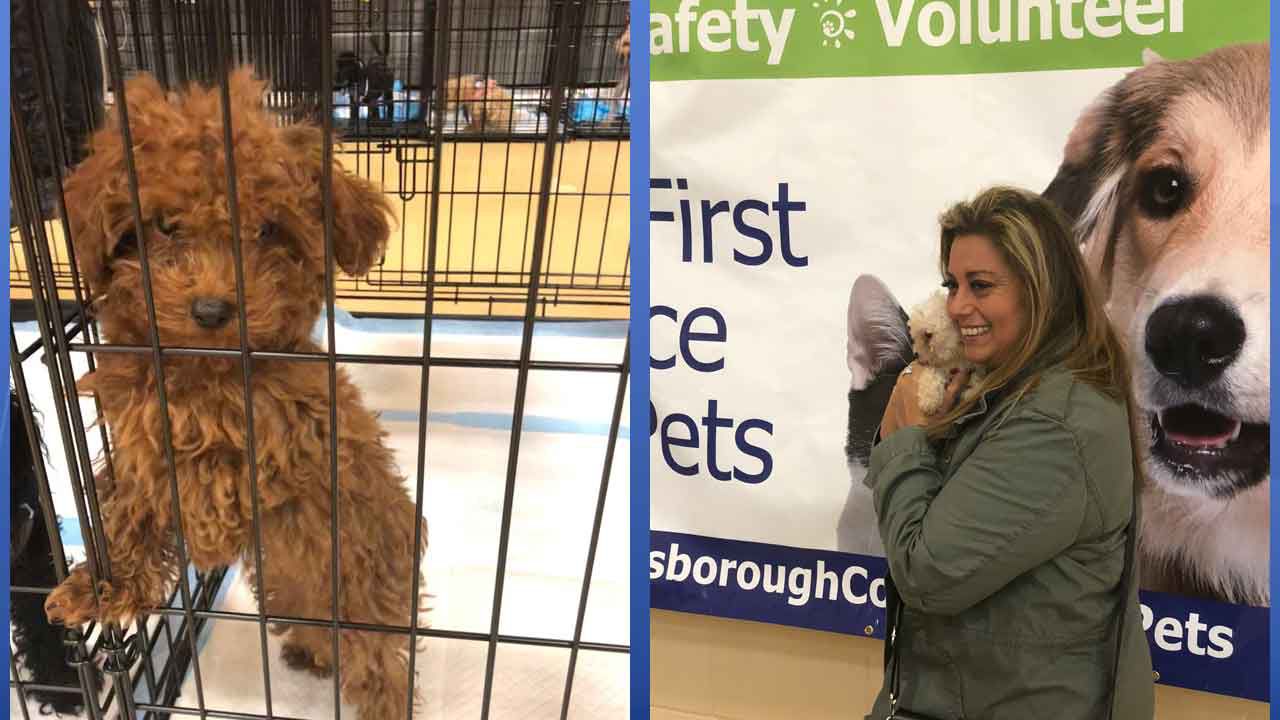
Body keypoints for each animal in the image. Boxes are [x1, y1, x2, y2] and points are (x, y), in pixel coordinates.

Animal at [42, 67, 430, 717]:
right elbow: (128, 502)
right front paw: (95, 587)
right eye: (165, 225)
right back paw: (311, 652)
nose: (211, 309)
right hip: (289, 590)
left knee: (380, 667)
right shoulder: (137, 443)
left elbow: (201, 483)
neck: (204, 366)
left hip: (362, 592)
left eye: (268, 230)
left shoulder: (269, 442)